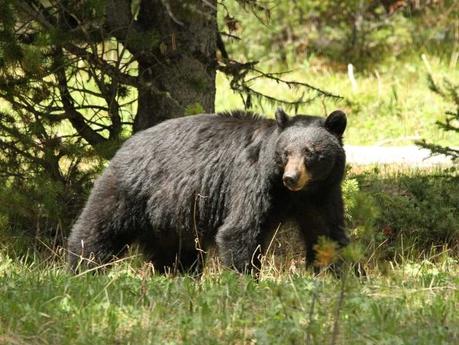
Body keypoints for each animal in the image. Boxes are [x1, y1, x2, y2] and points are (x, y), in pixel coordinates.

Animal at [67, 109, 348, 272]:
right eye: (286, 152)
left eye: (310, 152)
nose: (291, 177)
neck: (294, 195)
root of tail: (125, 144)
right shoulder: (254, 181)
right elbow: (240, 231)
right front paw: (246, 279)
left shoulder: (323, 193)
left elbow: (327, 233)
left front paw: (337, 274)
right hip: (129, 190)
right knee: (97, 229)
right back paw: (82, 268)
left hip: (171, 217)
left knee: (178, 254)